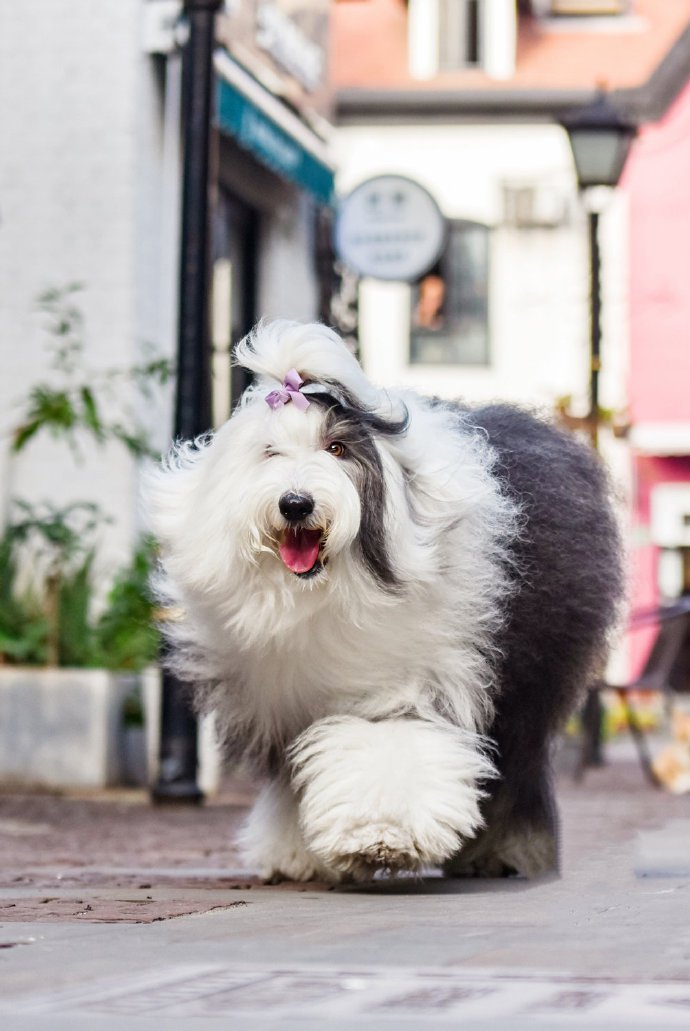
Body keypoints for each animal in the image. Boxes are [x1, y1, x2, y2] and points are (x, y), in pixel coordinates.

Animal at [144, 323, 618, 886]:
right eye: (270, 453)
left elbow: (389, 747)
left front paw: (380, 835)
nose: (296, 503)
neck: (327, 592)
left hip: (526, 676)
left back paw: (502, 852)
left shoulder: (413, 679)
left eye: (337, 448)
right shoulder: (280, 700)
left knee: (515, 763)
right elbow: (290, 778)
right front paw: (297, 853)